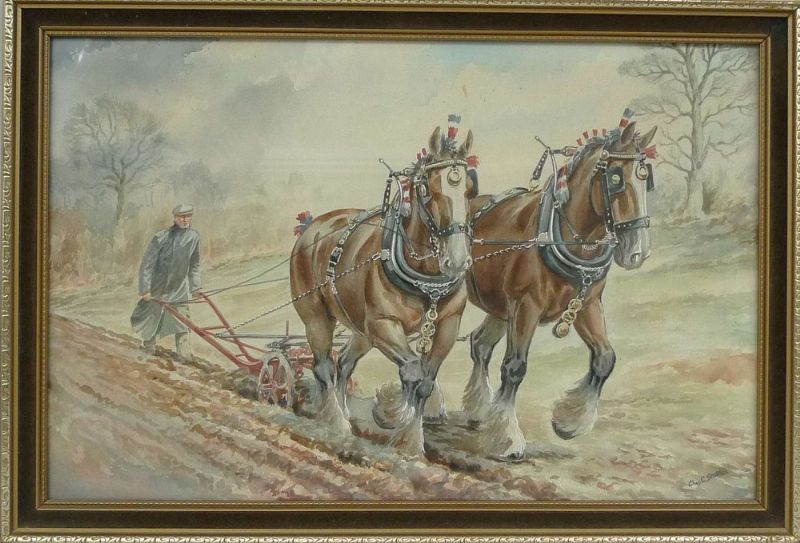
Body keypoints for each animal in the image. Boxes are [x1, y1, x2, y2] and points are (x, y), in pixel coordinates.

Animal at [290, 123, 477, 457]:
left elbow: (425, 381)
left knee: (345, 363)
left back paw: (345, 411)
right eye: (428, 189)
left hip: (360, 330)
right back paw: (336, 423)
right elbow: (413, 370)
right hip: (317, 319)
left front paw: (411, 438)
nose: (457, 260)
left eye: (470, 188)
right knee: (323, 366)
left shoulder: (447, 326)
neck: (425, 279)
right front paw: (400, 423)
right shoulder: (383, 326)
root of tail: (312, 228)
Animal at [461, 116, 658, 461]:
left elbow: (605, 358)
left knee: (479, 345)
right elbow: (514, 367)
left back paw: (477, 410)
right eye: (615, 178)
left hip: (499, 306)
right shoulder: (526, 306)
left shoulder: (586, 305)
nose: (638, 252)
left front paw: (570, 421)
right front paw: (508, 438)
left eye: (646, 180)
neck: (562, 235)